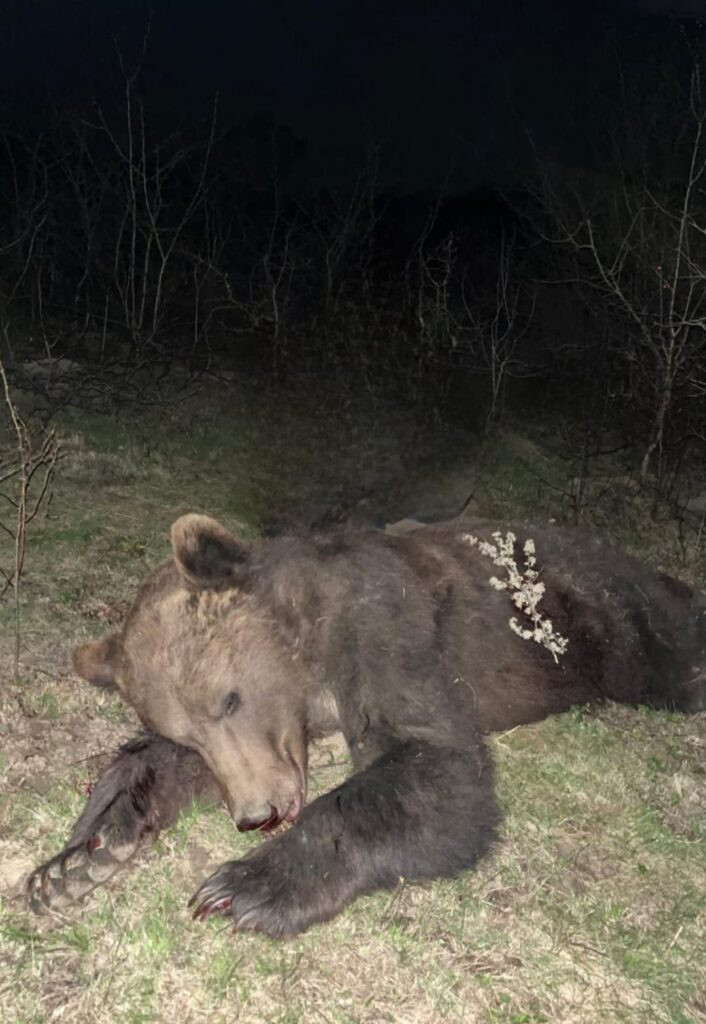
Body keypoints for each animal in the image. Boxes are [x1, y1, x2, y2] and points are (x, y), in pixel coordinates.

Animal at [26, 513, 706, 936]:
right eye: (185, 731)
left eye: (230, 698)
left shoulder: (385, 630)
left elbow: (436, 769)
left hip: (613, 621)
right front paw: (73, 861)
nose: (255, 815)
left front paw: (245, 884)